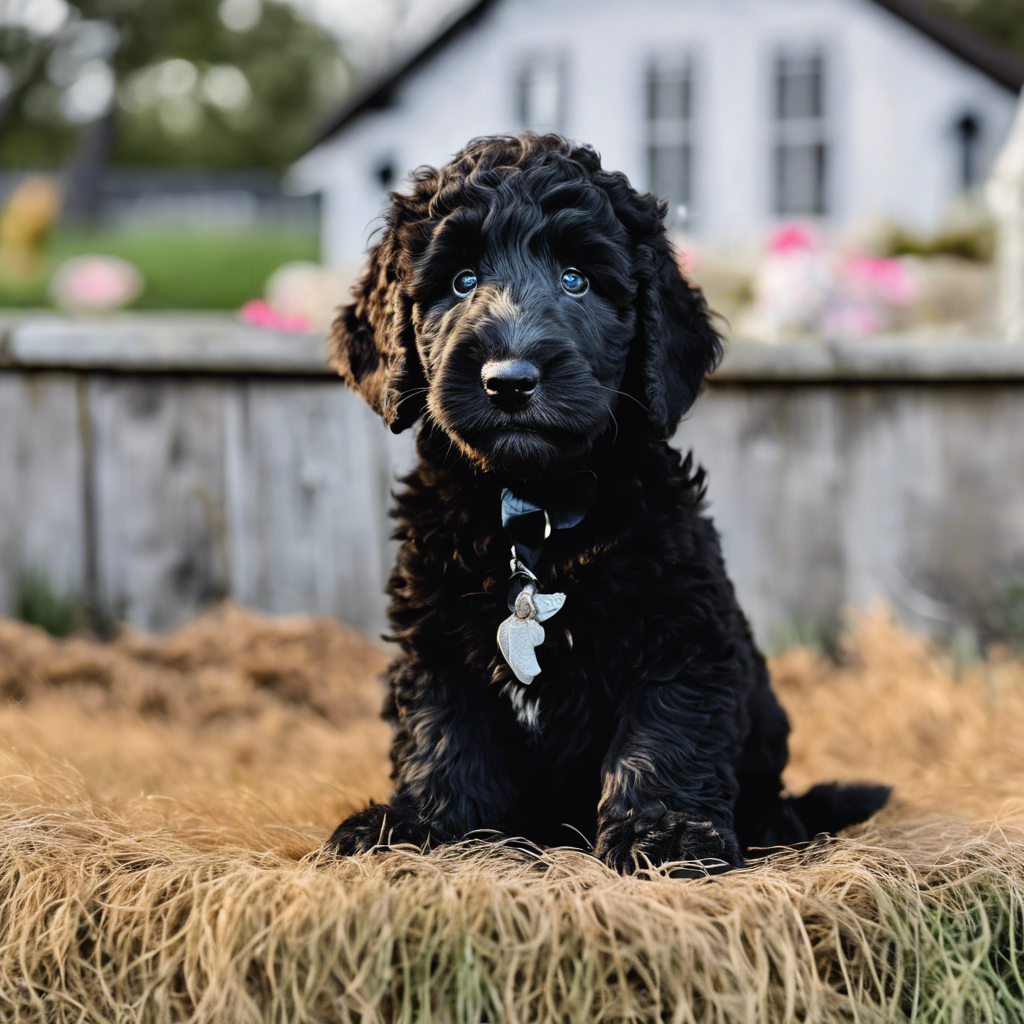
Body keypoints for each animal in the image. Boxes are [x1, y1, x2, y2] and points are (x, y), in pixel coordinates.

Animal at [327, 134, 888, 872]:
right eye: (461, 281)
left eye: (577, 280)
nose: (509, 380)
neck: (533, 512)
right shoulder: (436, 638)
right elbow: (442, 734)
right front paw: (420, 825)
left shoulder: (680, 633)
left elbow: (662, 737)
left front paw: (665, 835)